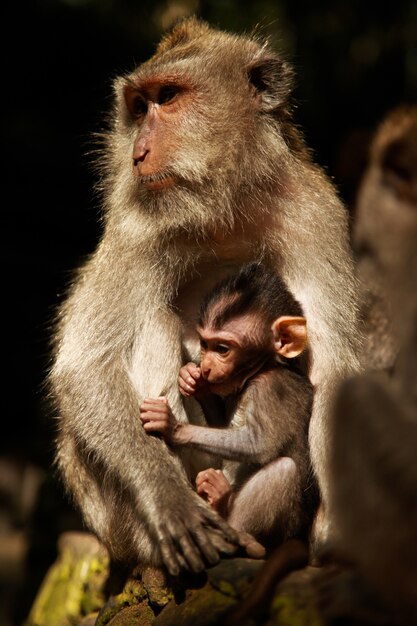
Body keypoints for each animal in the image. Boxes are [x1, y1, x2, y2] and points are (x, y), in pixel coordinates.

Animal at [140, 262, 316, 544]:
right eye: (204, 344)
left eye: (222, 349)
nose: (206, 368)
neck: (260, 370)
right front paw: (194, 382)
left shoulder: (272, 389)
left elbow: (260, 444)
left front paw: (172, 426)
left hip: (287, 527)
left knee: (283, 470)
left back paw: (233, 523)